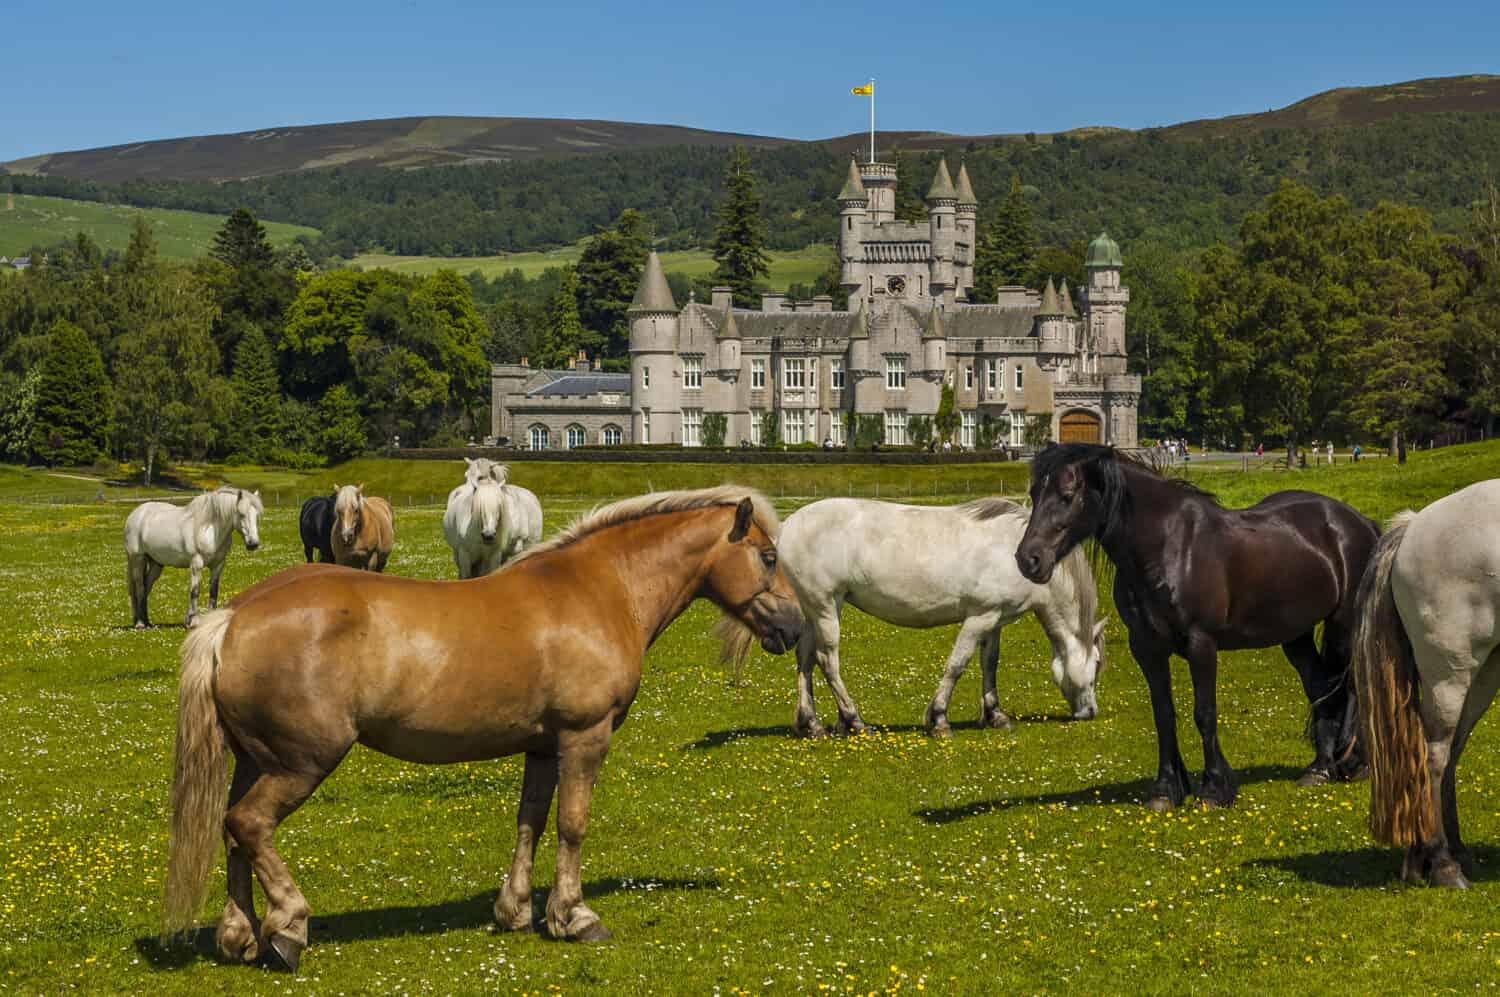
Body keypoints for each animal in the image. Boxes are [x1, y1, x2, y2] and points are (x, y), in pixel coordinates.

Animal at [125, 485, 264, 626]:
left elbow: (213, 591)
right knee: (140, 587)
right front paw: (192, 620)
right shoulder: (196, 564)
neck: (210, 529)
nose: (253, 544)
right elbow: (195, 591)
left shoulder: (218, 565)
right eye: (241, 514)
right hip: (137, 559)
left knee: (146, 586)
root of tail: (136, 514)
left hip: (156, 564)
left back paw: (146, 621)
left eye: (256, 515)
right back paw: (140, 623)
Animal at [158, 485, 804, 965]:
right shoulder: (584, 737)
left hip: (254, 760)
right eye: (770, 558)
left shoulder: (543, 747)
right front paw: (574, 915)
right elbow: (572, 825)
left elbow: (531, 822)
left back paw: (240, 936)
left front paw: (516, 910)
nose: (795, 627)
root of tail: (231, 617)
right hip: (301, 762)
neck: (601, 589)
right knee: (249, 824)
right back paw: (288, 927)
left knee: (233, 834)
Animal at [780, 494, 1110, 734]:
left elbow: (990, 664)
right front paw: (939, 719)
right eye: (1095, 664)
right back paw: (854, 719)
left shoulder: (995, 620)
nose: (1089, 712)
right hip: (826, 606)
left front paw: (995, 715)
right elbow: (957, 664)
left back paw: (812, 723)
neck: (1018, 553)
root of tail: (790, 524)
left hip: (814, 610)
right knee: (827, 660)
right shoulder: (979, 617)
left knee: (805, 658)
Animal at [1014, 446, 1374, 815]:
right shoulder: (1146, 648)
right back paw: (1320, 769)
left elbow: (1205, 713)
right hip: (1295, 635)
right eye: (1035, 493)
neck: (1167, 546)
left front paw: (1214, 789)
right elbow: (1163, 714)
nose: (1029, 559)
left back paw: (1353, 764)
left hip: (1343, 626)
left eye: (1067, 495)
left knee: (1352, 687)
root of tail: (1358, 523)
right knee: (1321, 687)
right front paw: (1165, 789)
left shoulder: (1201, 644)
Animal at [1350, 479, 1500, 887]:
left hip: (1482, 675)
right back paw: (1443, 863)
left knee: (1450, 753)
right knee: (1434, 754)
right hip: (1450, 674)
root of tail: (1415, 525)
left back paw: (1437, 856)